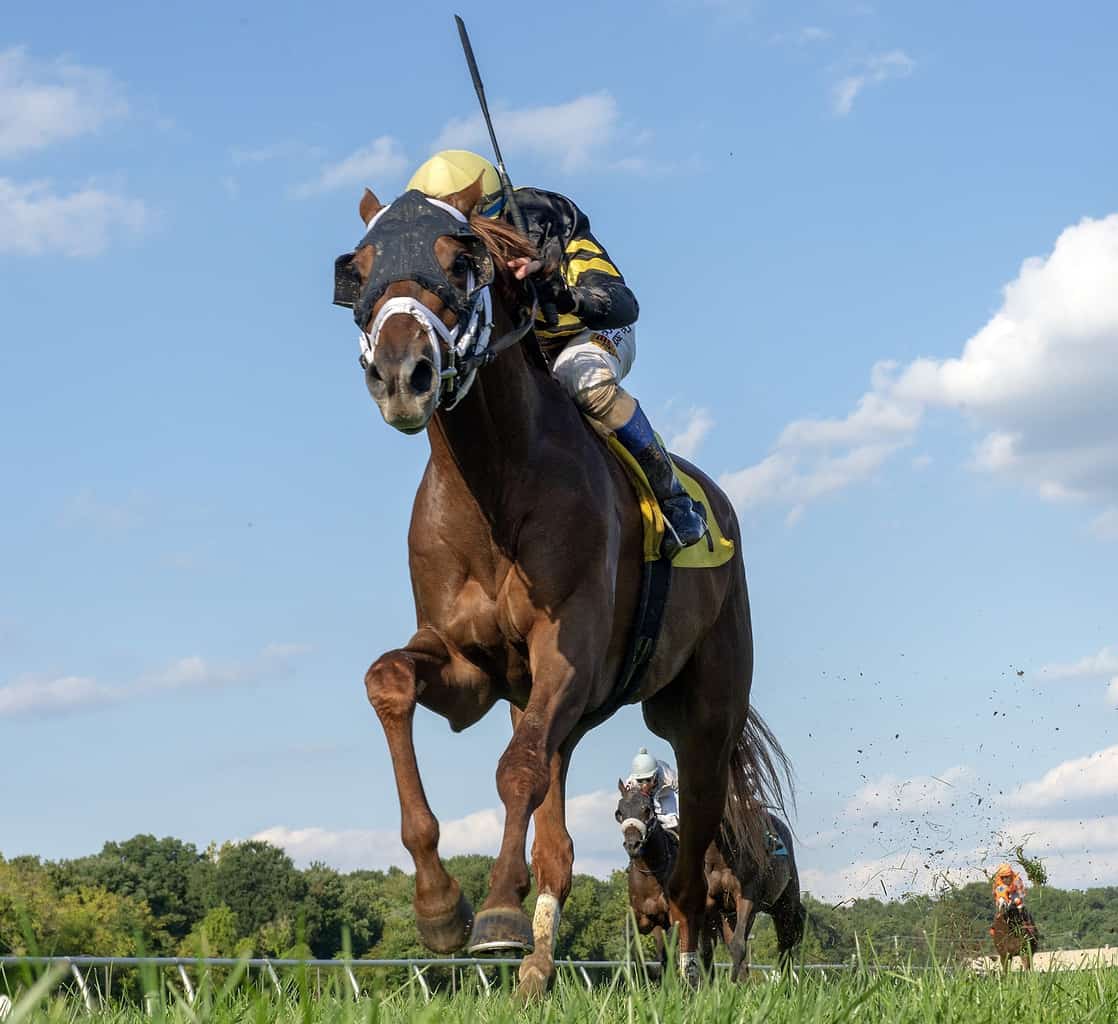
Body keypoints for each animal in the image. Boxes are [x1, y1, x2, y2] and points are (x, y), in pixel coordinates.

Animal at [335, 179, 791, 997]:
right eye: (358, 269)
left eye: (461, 261)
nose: (400, 374)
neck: (496, 487)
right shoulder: (470, 668)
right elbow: (389, 679)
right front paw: (441, 908)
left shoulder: (568, 654)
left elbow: (514, 769)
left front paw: (496, 915)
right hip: (563, 717)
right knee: (560, 840)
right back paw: (539, 971)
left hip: (701, 714)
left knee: (694, 852)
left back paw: (689, 967)